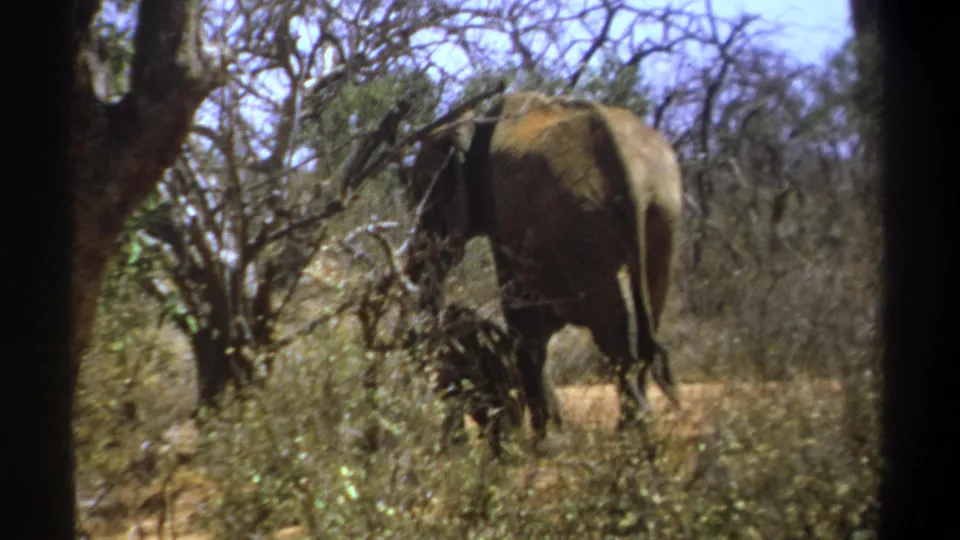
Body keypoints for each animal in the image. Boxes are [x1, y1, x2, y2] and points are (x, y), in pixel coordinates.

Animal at [401, 91, 683, 449]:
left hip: (582, 224)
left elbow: (522, 319)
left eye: (423, 197)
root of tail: (631, 174)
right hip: (662, 214)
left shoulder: (505, 217)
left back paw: (630, 440)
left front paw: (540, 445)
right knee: (646, 326)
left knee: (614, 336)